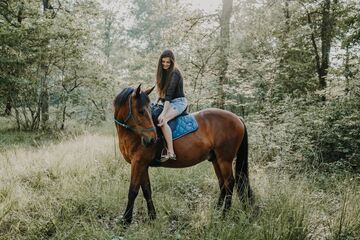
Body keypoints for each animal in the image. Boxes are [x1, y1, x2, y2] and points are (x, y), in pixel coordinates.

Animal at [113, 85, 253, 225]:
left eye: (145, 111)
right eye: (141, 111)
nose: (153, 139)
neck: (132, 134)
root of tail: (238, 118)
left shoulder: (139, 162)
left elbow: (133, 191)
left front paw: (126, 220)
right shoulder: (142, 164)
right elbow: (146, 189)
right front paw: (152, 217)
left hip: (225, 160)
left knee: (229, 182)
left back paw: (224, 215)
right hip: (216, 160)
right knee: (222, 183)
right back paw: (217, 211)